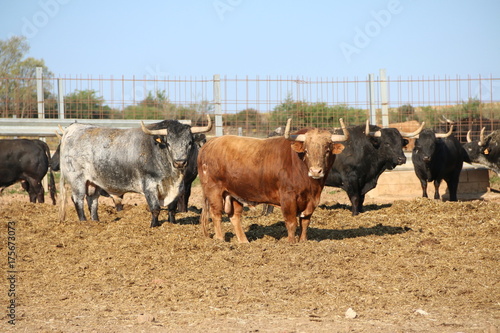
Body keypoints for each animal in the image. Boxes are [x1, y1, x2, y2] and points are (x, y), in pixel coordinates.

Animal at [59, 115, 212, 227]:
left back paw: (95, 221)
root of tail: (74, 128)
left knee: (92, 200)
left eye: (189, 143)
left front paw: (172, 224)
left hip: (93, 182)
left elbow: (172, 208)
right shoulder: (149, 185)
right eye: (168, 143)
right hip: (77, 180)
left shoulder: (177, 187)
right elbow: (155, 208)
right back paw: (83, 222)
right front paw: (154, 226)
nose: (180, 162)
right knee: (78, 199)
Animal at [197, 118, 346, 243]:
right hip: (213, 190)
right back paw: (220, 240)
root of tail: (210, 143)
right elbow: (291, 222)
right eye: (306, 150)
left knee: (235, 216)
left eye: (327, 150)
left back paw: (244, 241)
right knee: (216, 214)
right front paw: (291, 242)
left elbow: (305, 222)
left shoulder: (311, 200)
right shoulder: (288, 197)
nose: (316, 171)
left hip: (234, 193)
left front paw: (303, 241)